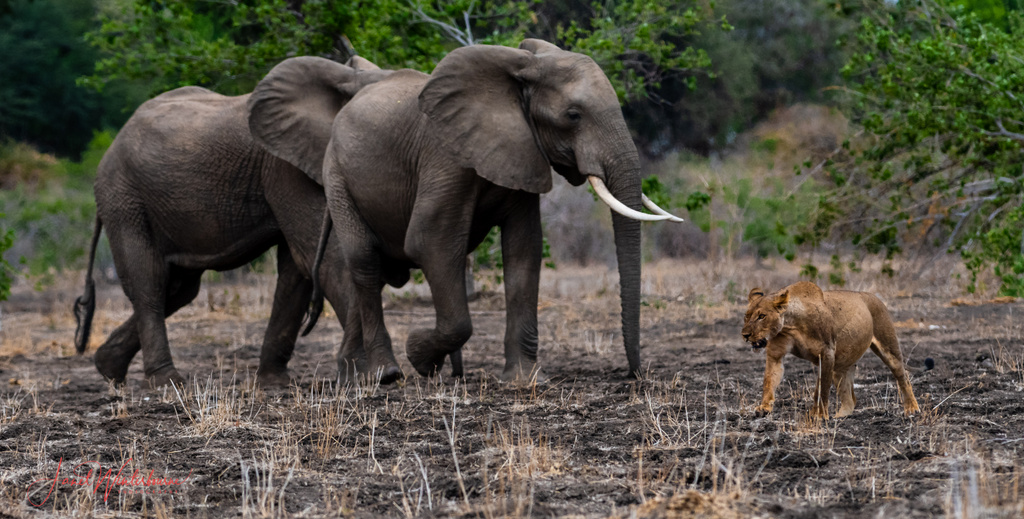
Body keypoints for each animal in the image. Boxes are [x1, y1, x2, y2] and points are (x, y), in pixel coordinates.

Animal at [72, 54, 415, 388]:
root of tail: (112, 145)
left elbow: (298, 271)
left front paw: (276, 384)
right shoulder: (283, 168)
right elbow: (327, 260)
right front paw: (365, 377)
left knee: (180, 287)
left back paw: (108, 368)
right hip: (124, 199)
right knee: (150, 282)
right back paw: (167, 382)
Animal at [258, 39, 679, 382]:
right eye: (573, 115)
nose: (634, 375)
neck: (518, 71)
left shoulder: (520, 150)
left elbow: (524, 249)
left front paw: (524, 380)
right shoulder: (445, 156)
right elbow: (429, 241)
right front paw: (420, 356)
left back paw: (366, 375)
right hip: (336, 176)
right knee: (364, 262)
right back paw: (386, 375)